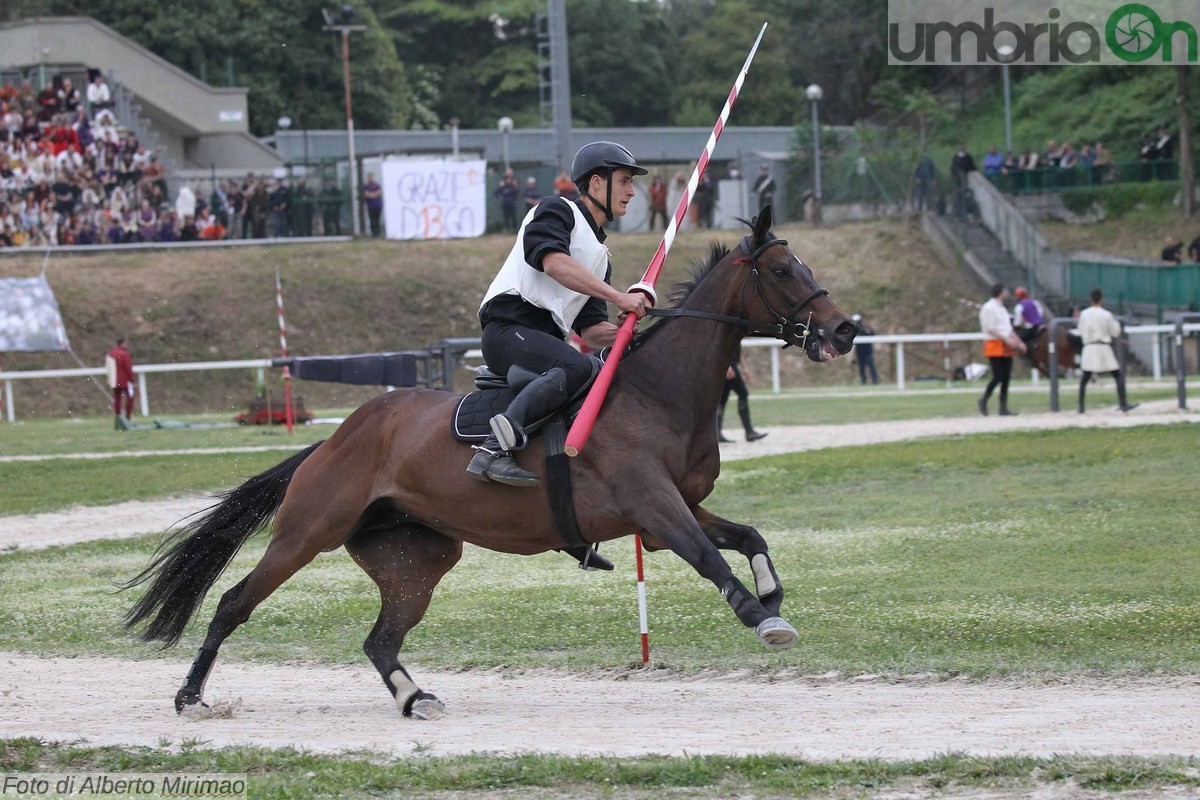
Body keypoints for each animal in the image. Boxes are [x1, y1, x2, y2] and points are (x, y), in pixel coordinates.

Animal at [124, 206, 864, 719]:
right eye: (782, 271)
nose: (844, 328)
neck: (659, 390)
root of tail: (335, 439)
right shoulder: (655, 508)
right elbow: (712, 558)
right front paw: (761, 616)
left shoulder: (669, 513)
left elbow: (748, 536)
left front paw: (770, 591)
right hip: (308, 532)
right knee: (231, 604)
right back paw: (191, 697)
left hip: (416, 557)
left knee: (380, 641)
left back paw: (413, 697)